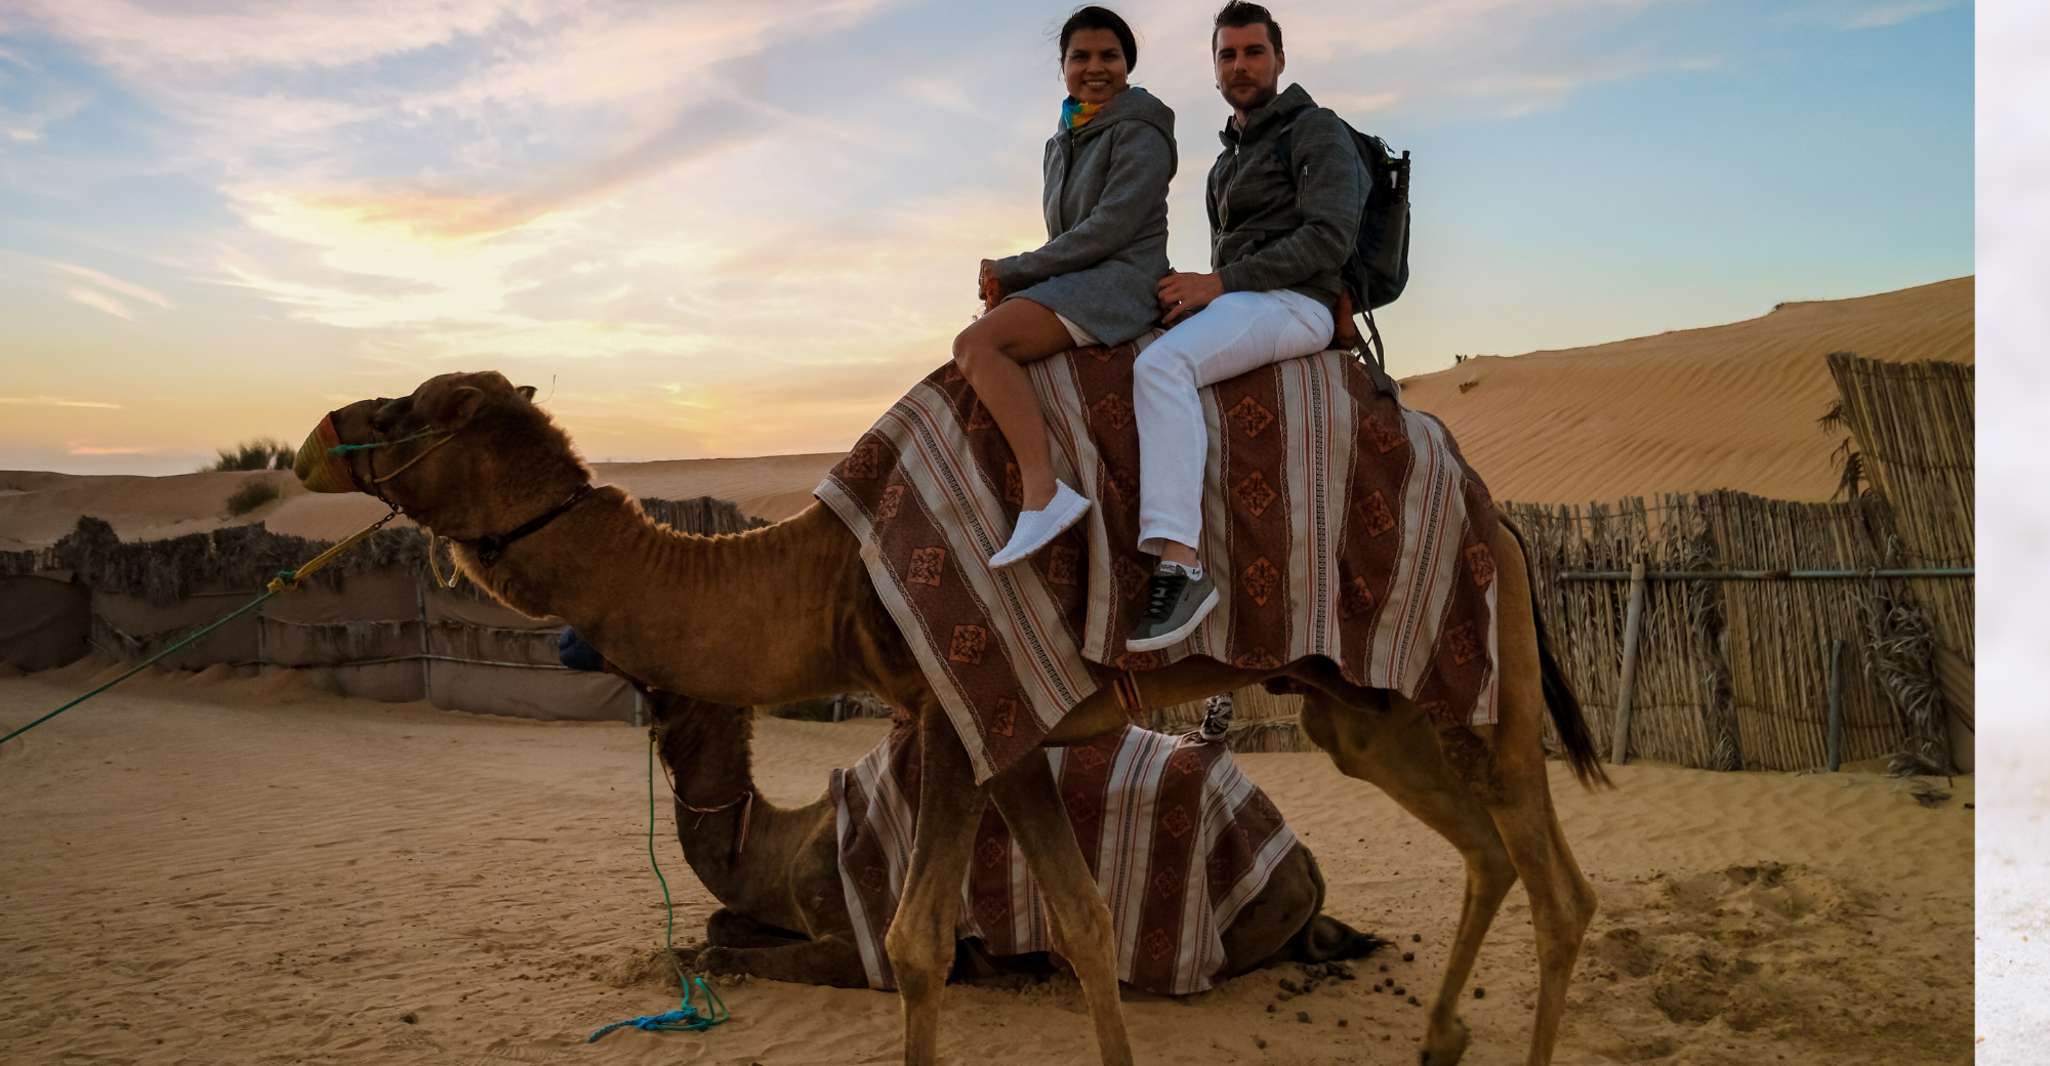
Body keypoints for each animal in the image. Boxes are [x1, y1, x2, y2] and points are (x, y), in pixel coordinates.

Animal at [633, 686, 1382, 988]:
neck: (784, 846)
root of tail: (1303, 860)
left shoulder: (856, 938)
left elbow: (722, 953)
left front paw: (673, 963)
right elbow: (723, 923)